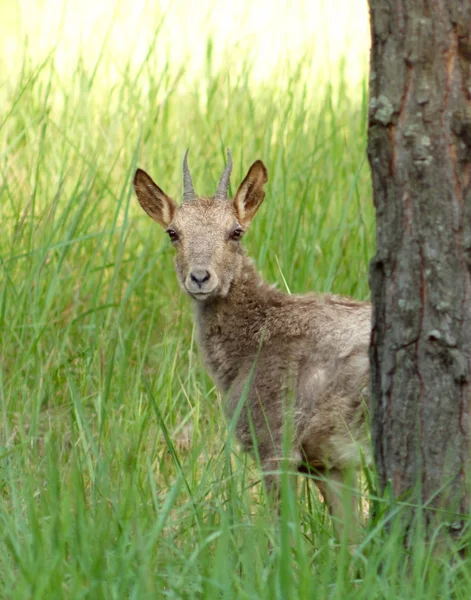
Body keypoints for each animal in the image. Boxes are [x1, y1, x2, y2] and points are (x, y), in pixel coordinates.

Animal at [133, 150, 372, 536]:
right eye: (173, 233)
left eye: (235, 231)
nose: (200, 277)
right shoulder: (330, 460)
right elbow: (350, 536)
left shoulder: (276, 442)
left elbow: (283, 531)